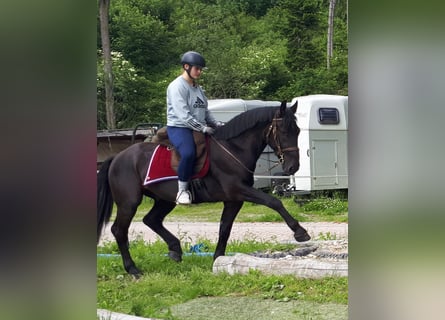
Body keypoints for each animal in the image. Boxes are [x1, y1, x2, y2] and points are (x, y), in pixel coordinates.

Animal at [97, 100, 310, 278]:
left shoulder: (233, 200)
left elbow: (224, 228)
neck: (233, 149)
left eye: (298, 131)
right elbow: (274, 201)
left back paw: (175, 250)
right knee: (119, 231)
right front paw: (300, 232)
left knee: (151, 220)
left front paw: (218, 260)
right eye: (284, 131)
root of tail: (117, 158)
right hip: (129, 203)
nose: (293, 167)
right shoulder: (238, 190)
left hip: (164, 200)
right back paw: (133, 268)